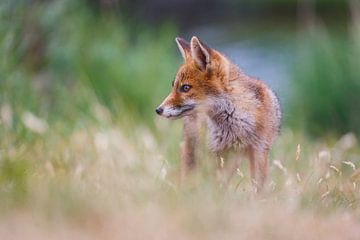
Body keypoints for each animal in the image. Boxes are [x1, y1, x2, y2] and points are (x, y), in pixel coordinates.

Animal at [155, 36, 282, 189]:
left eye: (185, 88)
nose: (158, 110)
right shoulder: (217, 154)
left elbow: (258, 187)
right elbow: (217, 187)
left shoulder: (259, 151)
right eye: (173, 86)